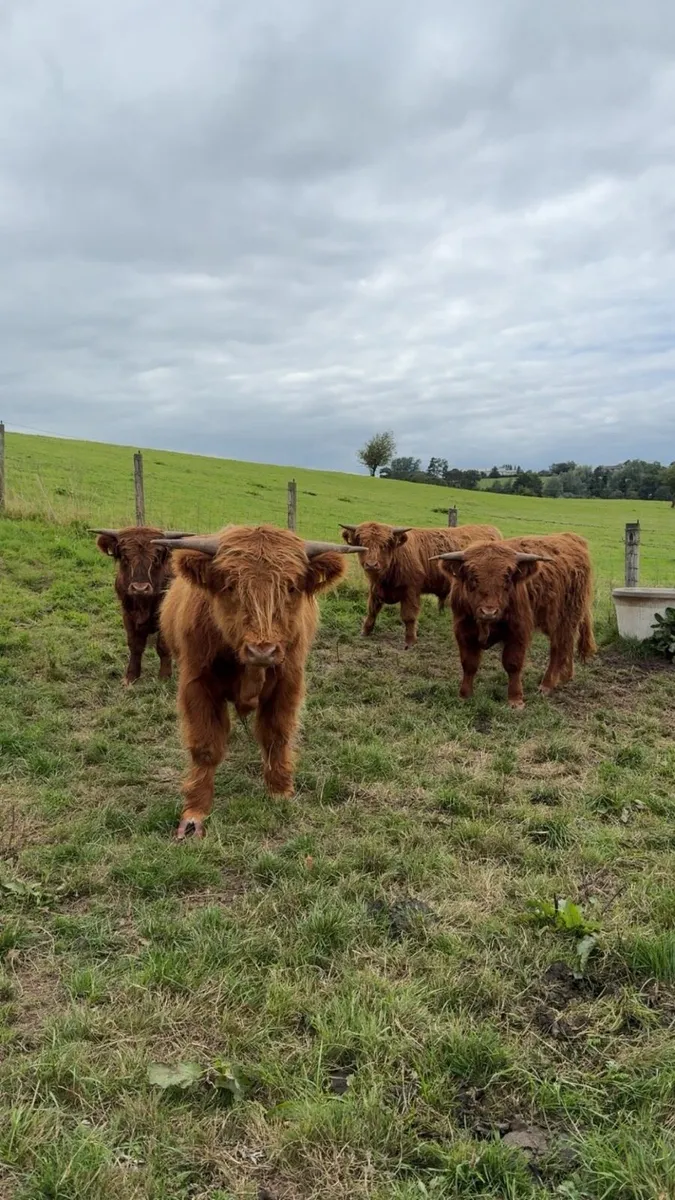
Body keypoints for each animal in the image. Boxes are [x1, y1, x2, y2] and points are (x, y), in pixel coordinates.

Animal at [92, 526, 191, 686]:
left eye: (156, 558)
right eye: (125, 557)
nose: (140, 588)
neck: (143, 605)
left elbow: (162, 646)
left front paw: (164, 676)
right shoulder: (127, 614)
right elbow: (135, 645)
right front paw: (131, 676)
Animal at [156, 525, 366, 840]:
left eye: (290, 587)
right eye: (230, 586)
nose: (262, 651)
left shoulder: (288, 684)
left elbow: (276, 736)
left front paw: (279, 791)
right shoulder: (196, 685)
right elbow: (205, 747)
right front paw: (195, 812)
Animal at [339, 521, 502, 647]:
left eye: (385, 545)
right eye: (362, 543)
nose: (371, 565)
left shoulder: (411, 591)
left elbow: (409, 616)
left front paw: (410, 641)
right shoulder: (375, 590)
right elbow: (372, 611)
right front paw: (365, 632)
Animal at [433, 533, 596, 708]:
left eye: (506, 577)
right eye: (472, 576)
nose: (489, 611)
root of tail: (571, 537)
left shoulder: (518, 630)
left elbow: (513, 664)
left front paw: (515, 699)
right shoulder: (463, 630)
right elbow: (469, 663)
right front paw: (465, 695)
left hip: (565, 618)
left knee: (558, 648)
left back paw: (547, 684)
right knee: (567, 645)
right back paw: (566, 676)